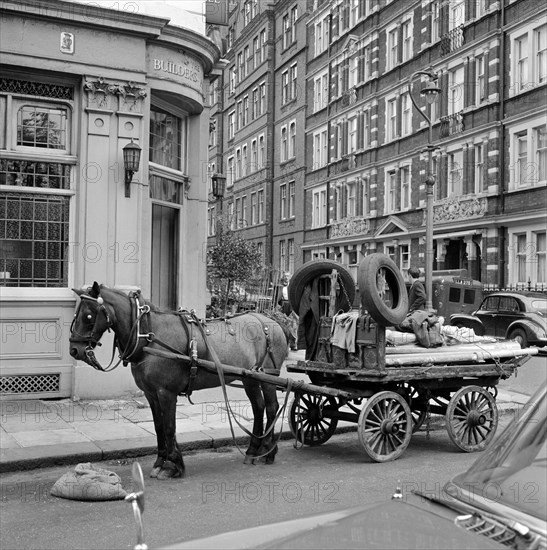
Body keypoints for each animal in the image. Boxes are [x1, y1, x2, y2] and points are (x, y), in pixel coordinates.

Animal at [69, 284, 292, 484]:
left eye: (88, 316)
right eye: (77, 314)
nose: (74, 350)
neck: (149, 337)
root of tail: (271, 322)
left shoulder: (166, 392)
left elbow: (169, 427)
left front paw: (171, 466)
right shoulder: (151, 394)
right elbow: (159, 427)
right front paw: (161, 462)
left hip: (267, 377)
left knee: (271, 407)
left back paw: (267, 453)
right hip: (250, 378)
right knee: (259, 407)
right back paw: (254, 450)